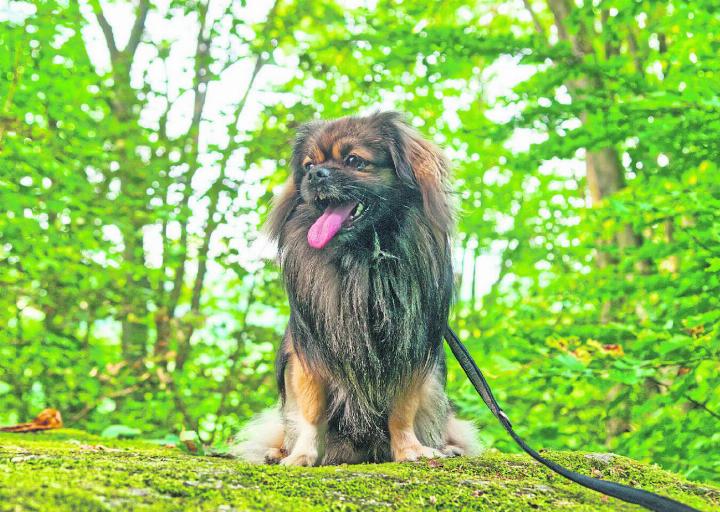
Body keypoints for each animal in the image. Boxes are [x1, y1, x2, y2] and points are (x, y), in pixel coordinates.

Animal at [232, 111, 478, 464]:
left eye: (353, 161)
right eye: (308, 165)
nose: (316, 175)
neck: (362, 258)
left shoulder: (408, 352)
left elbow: (402, 411)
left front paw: (410, 449)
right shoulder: (309, 357)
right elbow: (311, 414)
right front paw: (302, 456)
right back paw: (276, 453)